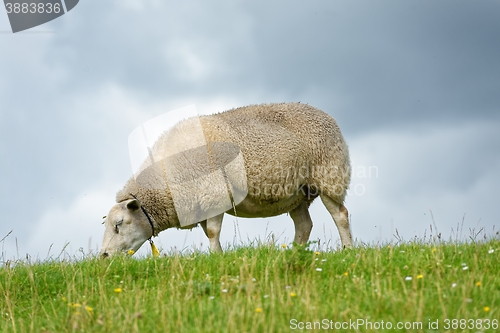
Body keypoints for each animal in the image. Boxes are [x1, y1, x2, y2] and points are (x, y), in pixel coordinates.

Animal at [100, 102, 352, 255]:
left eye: (119, 224)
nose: (103, 256)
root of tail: (326, 115)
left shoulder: (214, 194)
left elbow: (212, 232)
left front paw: (216, 257)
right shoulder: (200, 204)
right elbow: (208, 232)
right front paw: (217, 255)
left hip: (329, 176)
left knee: (340, 215)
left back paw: (348, 250)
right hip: (297, 193)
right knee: (304, 225)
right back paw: (294, 253)